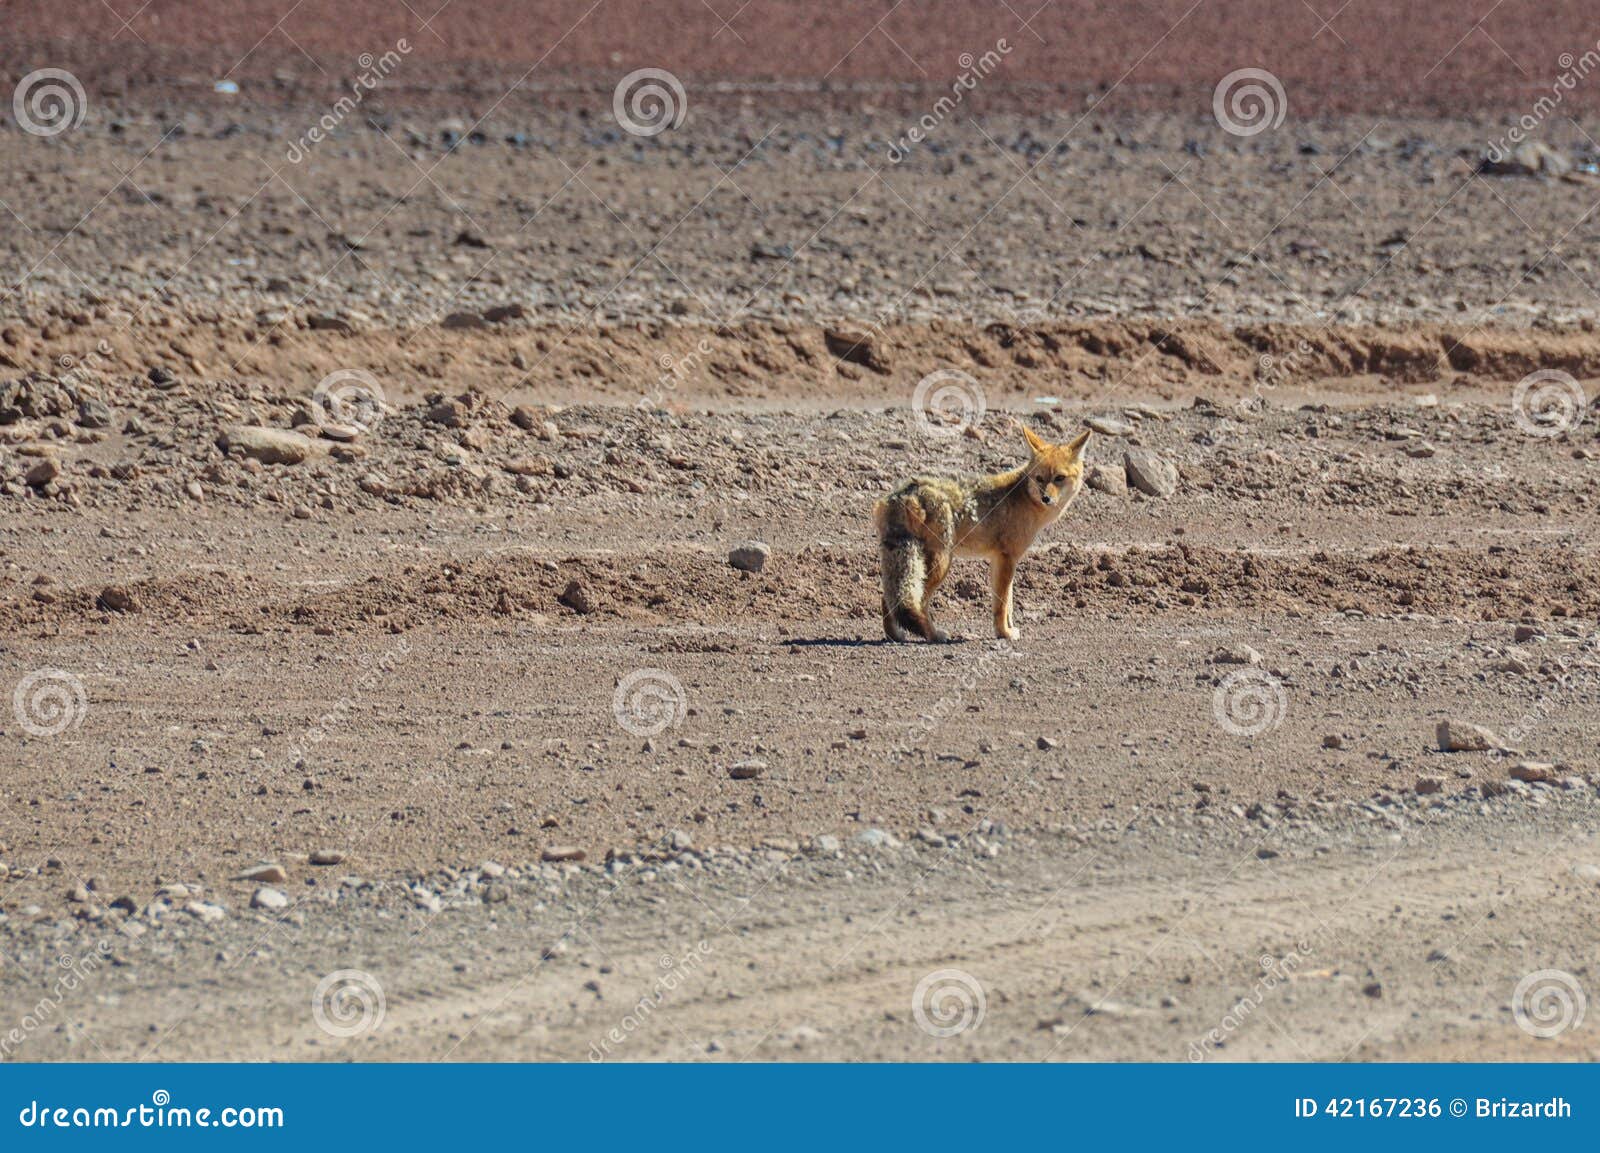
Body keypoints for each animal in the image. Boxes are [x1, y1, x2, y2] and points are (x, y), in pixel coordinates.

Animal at [870, 418, 1094, 642]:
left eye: (1059, 478)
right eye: (1039, 478)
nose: (1046, 498)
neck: (1025, 498)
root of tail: (903, 493)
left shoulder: (1000, 559)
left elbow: (1008, 602)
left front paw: (1008, 629)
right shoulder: (1007, 557)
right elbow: (1002, 604)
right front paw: (1004, 633)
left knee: (887, 598)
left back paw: (895, 635)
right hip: (941, 564)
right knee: (917, 603)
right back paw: (933, 635)